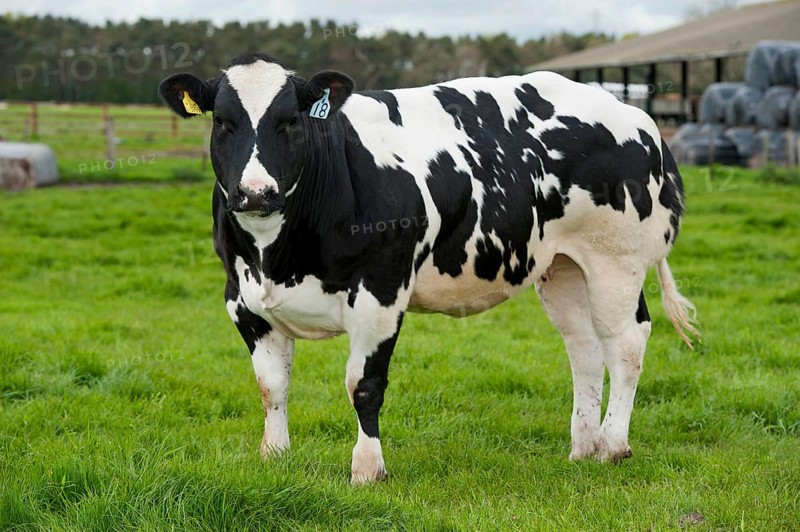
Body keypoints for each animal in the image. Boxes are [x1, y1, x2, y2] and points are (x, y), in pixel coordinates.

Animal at [159, 53, 699, 484]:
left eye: (291, 120)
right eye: (222, 121)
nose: (256, 192)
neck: (278, 256)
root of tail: (634, 114)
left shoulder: (380, 291)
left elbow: (363, 385)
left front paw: (367, 469)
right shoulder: (243, 299)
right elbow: (271, 385)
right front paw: (274, 456)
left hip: (616, 261)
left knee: (625, 343)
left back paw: (612, 446)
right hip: (561, 265)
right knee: (583, 347)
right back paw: (583, 447)